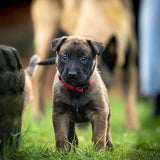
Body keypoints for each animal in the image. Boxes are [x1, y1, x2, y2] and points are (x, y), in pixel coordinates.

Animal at [31, 0, 139, 130]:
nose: (81, 125)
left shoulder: (130, 65)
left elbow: (130, 100)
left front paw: (132, 126)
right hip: (46, 38)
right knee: (37, 78)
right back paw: (38, 114)